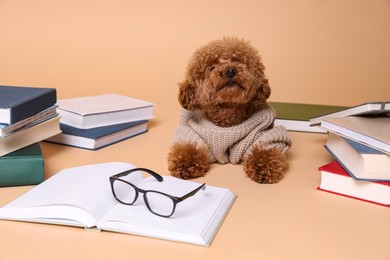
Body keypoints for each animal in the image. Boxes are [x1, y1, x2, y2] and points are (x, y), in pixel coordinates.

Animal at [168, 37, 292, 184]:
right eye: (212, 68)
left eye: (239, 62)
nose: (230, 71)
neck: (227, 116)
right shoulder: (190, 132)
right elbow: (188, 147)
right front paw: (186, 163)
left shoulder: (263, 133)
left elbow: (267, 147)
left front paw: (264, 166)